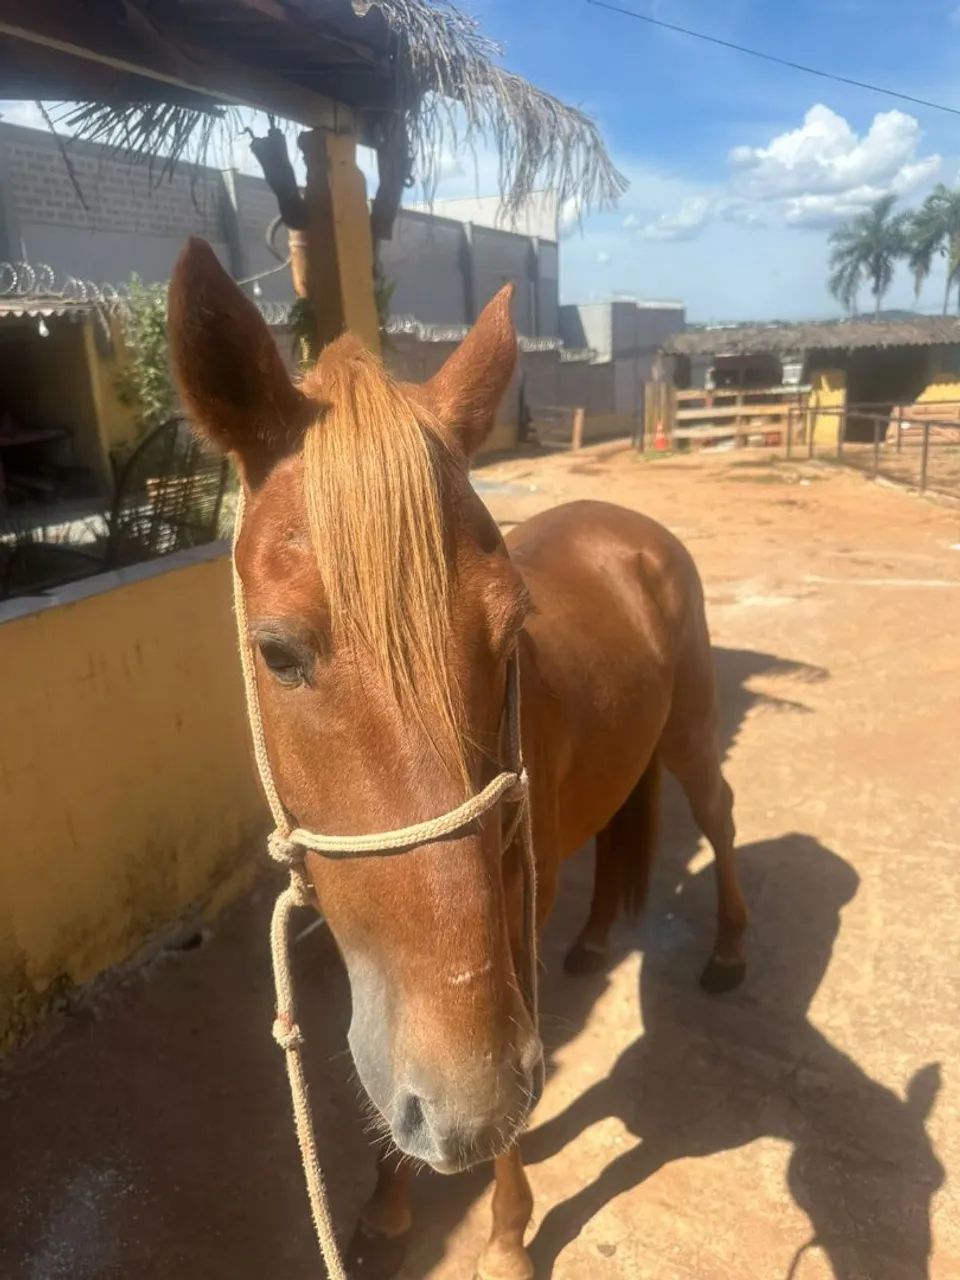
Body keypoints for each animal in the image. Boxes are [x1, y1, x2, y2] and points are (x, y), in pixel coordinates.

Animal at [168, 237, 748, 1280]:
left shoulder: (497, 956)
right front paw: (391, 1203)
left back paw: (728, 951)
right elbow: (394, 1054)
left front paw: (507, 1233)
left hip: (689, 729)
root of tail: (630, 525)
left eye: (509, 631)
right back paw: (594, 943)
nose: (464, 1115)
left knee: (718, 819)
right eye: (277, 653)